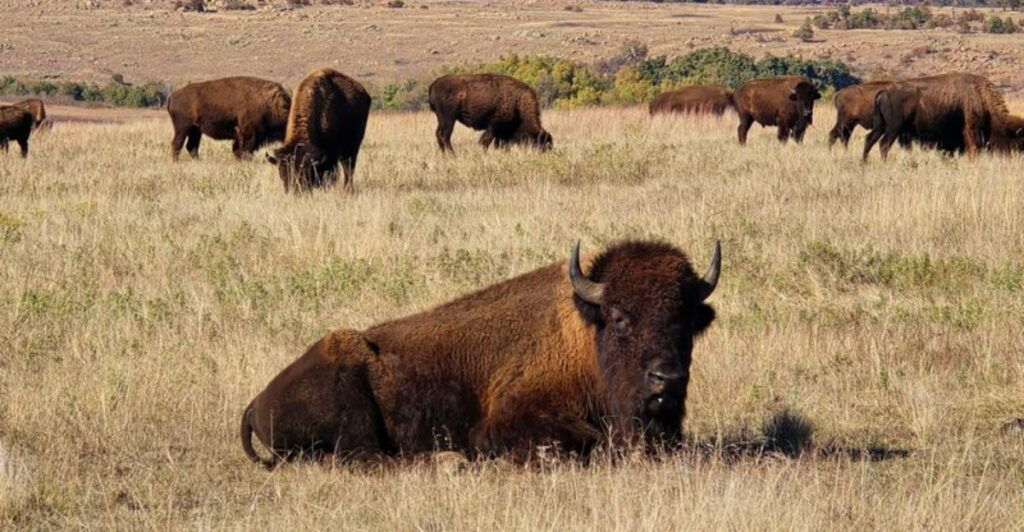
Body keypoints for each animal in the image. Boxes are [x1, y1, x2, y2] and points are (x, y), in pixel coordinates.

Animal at [241, 239, 721, 467]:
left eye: (686, 320)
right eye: (620, 318)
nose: (667, 380)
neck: (586, 335)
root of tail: (258, 400)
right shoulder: (504, 422)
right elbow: (587, 441)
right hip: (350, 405)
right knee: (368, 460)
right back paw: (450, 463)